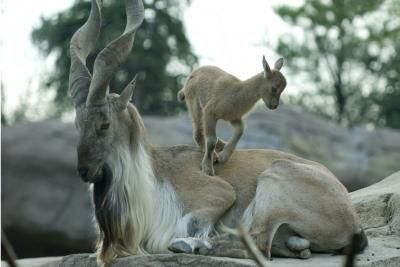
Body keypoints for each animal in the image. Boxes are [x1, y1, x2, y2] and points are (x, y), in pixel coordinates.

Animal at [69, 0, 366, 267]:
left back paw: (193, 245)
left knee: (259, 244)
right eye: (77, 124)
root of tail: (351, 218)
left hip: (273, 182)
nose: (84, 171)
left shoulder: (217, 194)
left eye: (104, 124)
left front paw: (192, 239)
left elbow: (193, 222)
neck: (151, 176)